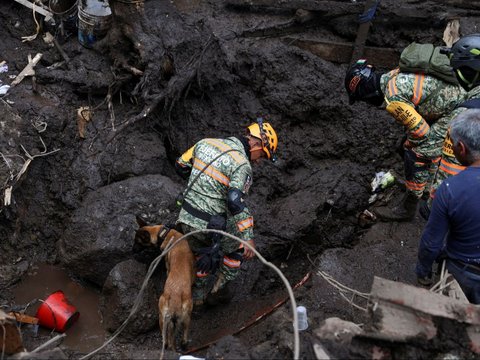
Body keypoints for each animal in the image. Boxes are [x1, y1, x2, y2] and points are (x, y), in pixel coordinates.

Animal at [134, 218, 194, 350]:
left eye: (137, 243)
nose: (132, 250)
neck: (165, 233)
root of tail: (175, 300)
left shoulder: (167, 264)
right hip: (186, 316)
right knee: (184, 336)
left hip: (162, 317)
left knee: (166, 339)